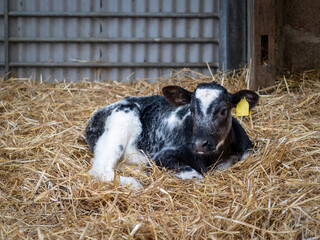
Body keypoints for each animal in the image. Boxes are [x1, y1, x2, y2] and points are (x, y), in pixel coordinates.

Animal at [85, 81, 260, 188]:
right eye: (191, 110)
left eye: (223, 110)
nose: (199, 143)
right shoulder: (162, 156)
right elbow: (197, 177)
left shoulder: (250, 147)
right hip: (120, 121)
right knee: (99, 169)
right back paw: (133, 183)